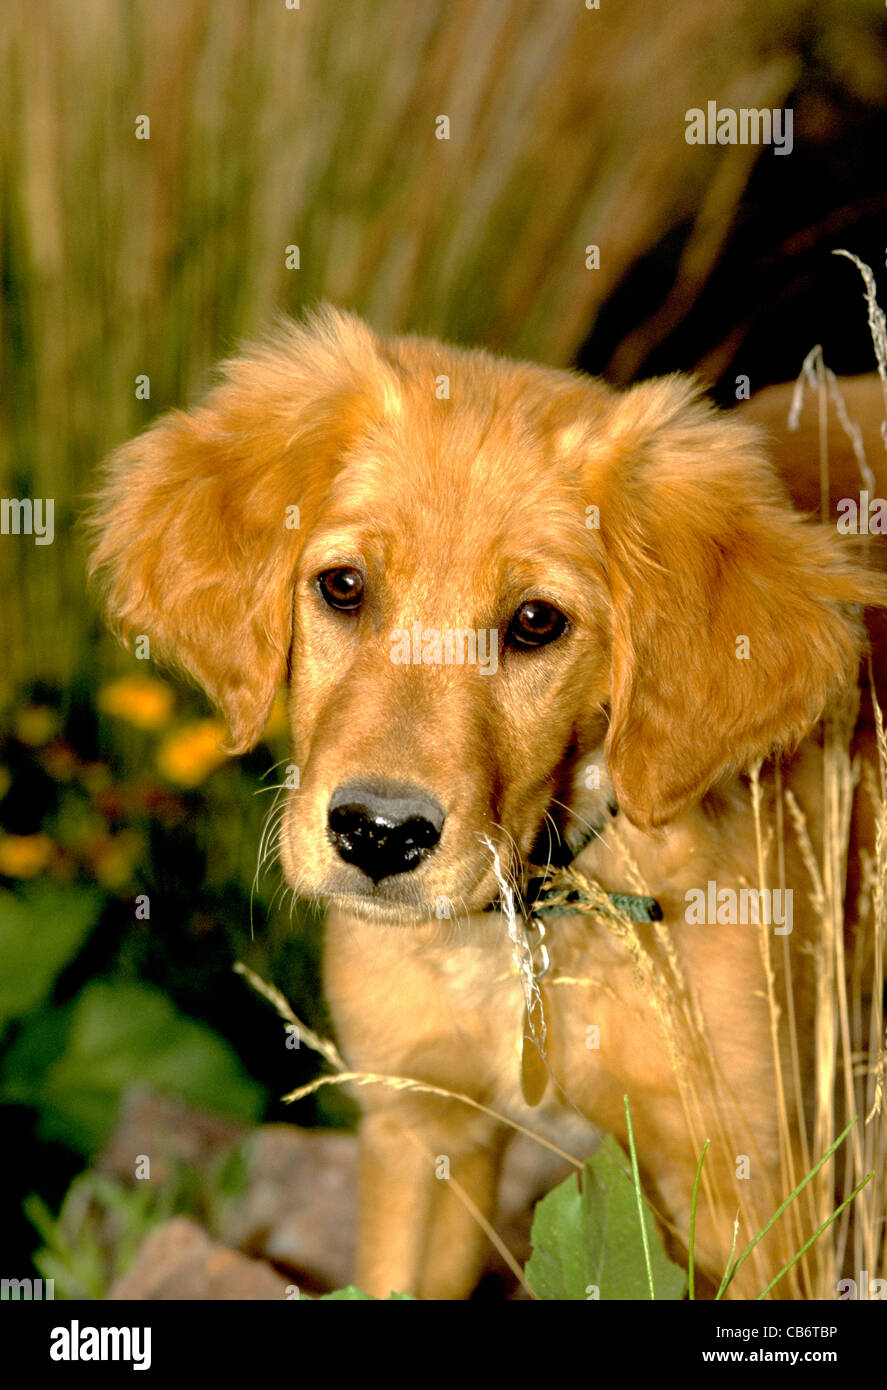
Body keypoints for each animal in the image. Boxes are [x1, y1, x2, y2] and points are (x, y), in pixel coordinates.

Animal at [91, 307, 887, 1301]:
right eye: (343, 586)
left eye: (536, 622)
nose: (378, 836)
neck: (533, 925)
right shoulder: (419, 1124)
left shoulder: (750, 1178)